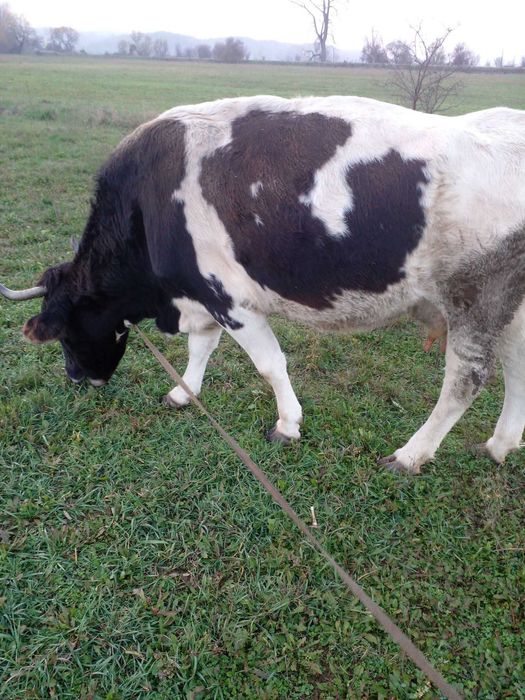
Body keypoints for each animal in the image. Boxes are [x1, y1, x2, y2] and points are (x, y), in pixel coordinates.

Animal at [2, 95, 525, 474]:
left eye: (65, 334)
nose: (76, 378)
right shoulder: (202, 294)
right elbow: (201, 349)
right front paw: (183, 393)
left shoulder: (230, 299)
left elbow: (270, 365)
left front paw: (288, 425)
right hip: (511, 307)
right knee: (516, 365)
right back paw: (500, 444)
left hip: (475, 300)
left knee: (465, 381)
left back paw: (410, 455)